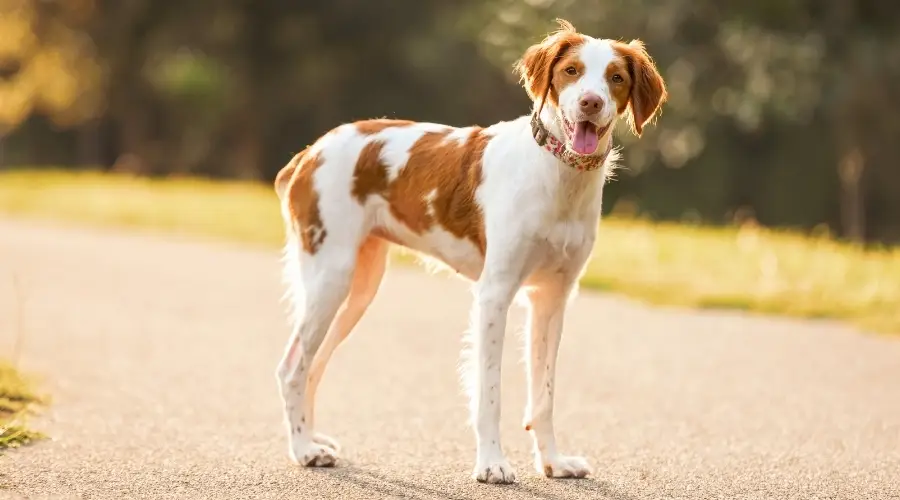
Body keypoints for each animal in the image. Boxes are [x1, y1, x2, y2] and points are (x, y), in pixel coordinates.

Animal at [270, 19, 664, 484]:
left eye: (615, 78)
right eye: (571, 71)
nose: (590, 102)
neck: (557, 176)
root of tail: (310, 151)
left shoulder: (552, 298)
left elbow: (544, 395)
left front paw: (553, 462)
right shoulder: (495, 292)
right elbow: (490, 391)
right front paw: (492, 463)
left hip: (359, 287)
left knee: (313, 364)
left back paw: (313, 439)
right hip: (331, 274)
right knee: (292, 366)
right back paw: (302, 450)